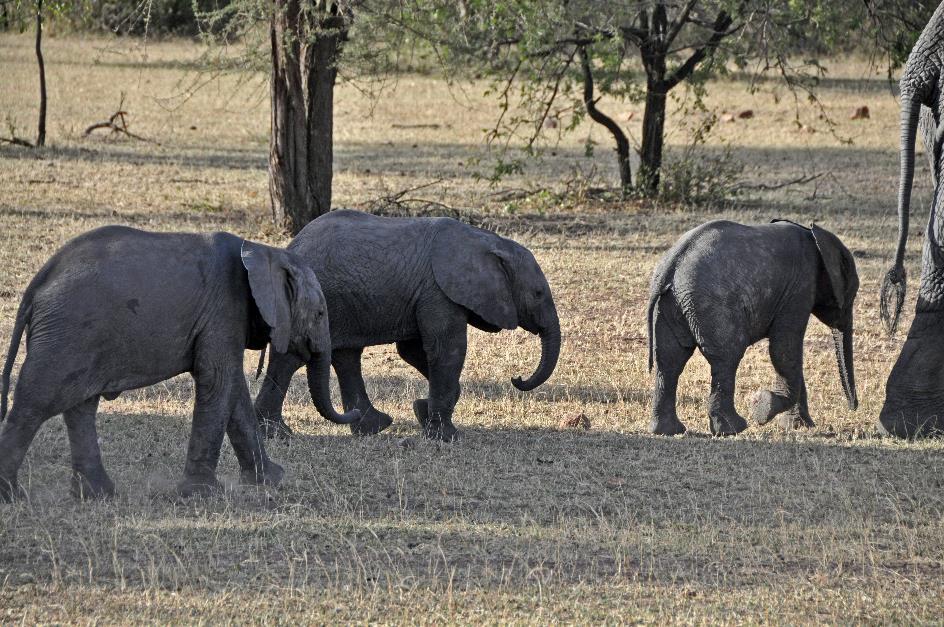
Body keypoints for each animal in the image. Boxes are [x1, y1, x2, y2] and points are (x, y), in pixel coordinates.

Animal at [0, 224, 362, 500]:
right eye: (320, 314)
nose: (357, 412)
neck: (264, 252)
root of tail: (38, 282)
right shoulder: (224, 308)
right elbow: (218, 380)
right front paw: (202, 493)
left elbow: (233, 390)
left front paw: (272, 479)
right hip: (67, 332)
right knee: (35, 404)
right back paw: (13, 496)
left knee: (80, 408)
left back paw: (98, 495)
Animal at [253, 210, 560, 442]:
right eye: (538, 294)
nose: (517, 378)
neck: (488, 242)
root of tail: (291, 248)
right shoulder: (438, 292)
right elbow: (447, 349)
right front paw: (446, 436)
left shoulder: (426, 294)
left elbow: (413, 350)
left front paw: (423, 412)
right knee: (299, 356)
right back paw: (280, 434)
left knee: (345, 355)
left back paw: (367, 428)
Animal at [644, 220, 860, 436]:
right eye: (851, 296)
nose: (853, 408)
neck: (814, 236)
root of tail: (671, 267)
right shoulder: (800, 287)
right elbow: (784, 348)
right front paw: (763, 409)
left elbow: (789, 355)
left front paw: (799, 426)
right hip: (713, 305)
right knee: (727, 357)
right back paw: (733, 428)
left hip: (670, 305)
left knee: (669, 360)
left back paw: (668, 430)